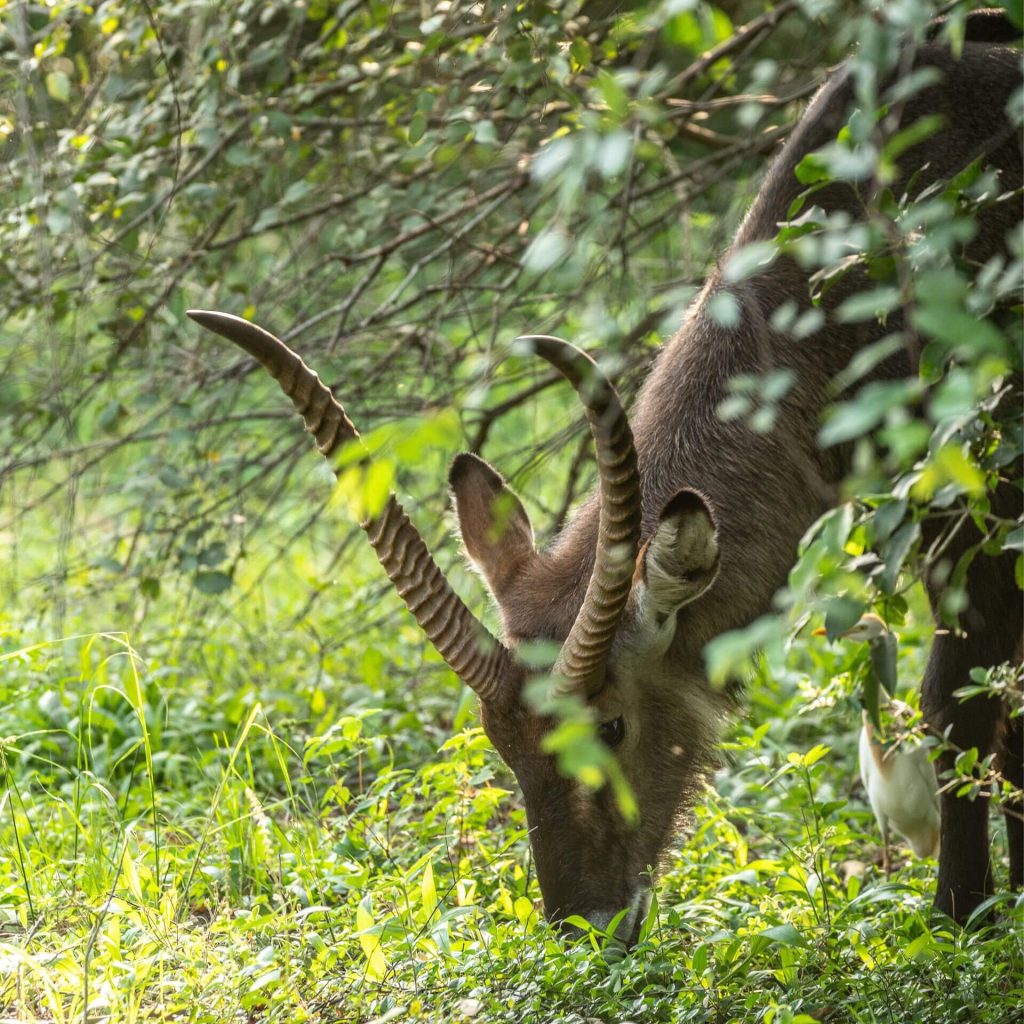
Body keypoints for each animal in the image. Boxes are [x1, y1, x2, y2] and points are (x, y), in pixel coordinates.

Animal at [188, 8, 1019, 937]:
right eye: (501, 741)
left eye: (614, 726)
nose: (582, 925)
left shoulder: (983, 508)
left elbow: (966, 707)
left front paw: (965, 913)